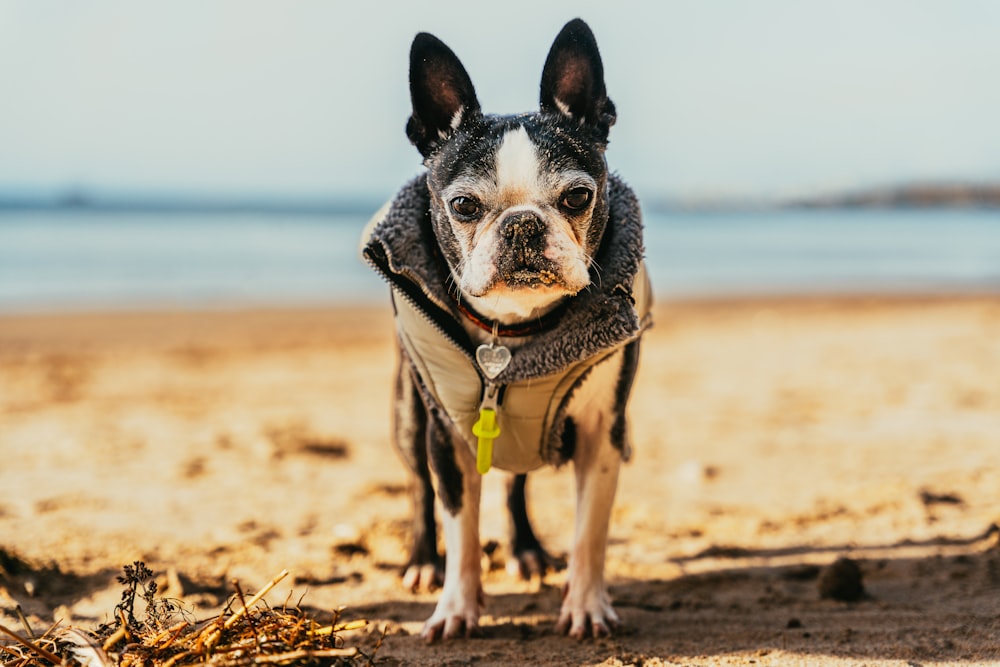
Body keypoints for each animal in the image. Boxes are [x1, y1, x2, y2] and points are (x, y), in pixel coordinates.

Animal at [364, 17, 652, 640]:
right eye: (464, 206)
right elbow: (461, 529)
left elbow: (590, 530)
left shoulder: (603, 431)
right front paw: (455, 607)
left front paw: (586, 605)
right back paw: (422, 562)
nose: (522, 224)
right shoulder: (447, 434)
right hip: (408, 415)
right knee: (419, 488)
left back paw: (527, 551)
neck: (513, 335)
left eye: (578, 196)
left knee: (517, 483)